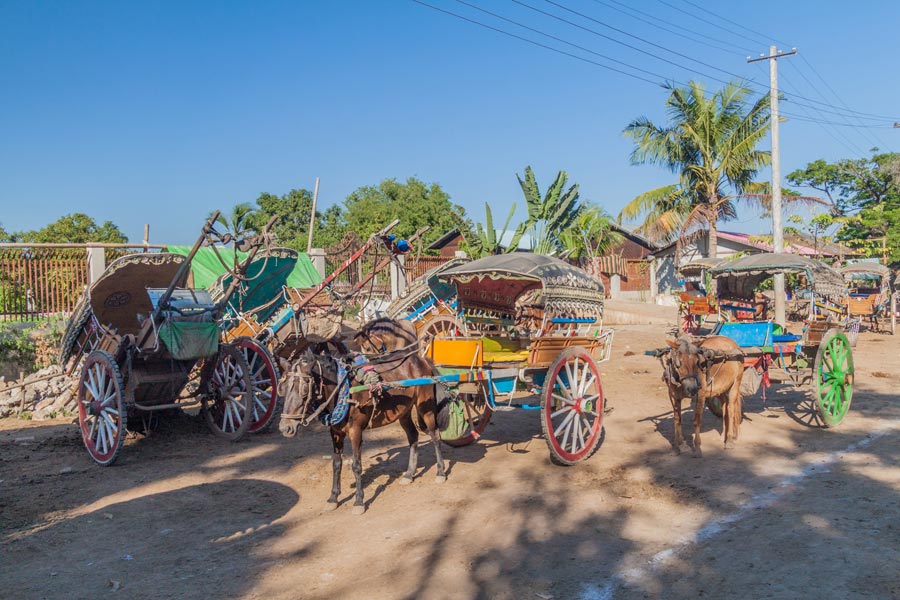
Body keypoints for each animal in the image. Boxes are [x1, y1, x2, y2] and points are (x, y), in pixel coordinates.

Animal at [274, 316, 442, 512]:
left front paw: (359, 501)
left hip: (425, 406)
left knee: (434, 434)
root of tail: (421, 359)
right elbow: (336, 463)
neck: (342, 388)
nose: (285, 428)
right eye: (283, 388)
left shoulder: (355, 431)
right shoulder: (335, 431)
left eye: (303, 389)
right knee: (413, 436)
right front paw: (333, 498)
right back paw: (409, 474)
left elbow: (356, 465)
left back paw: (440, 472)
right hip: (404, 412)